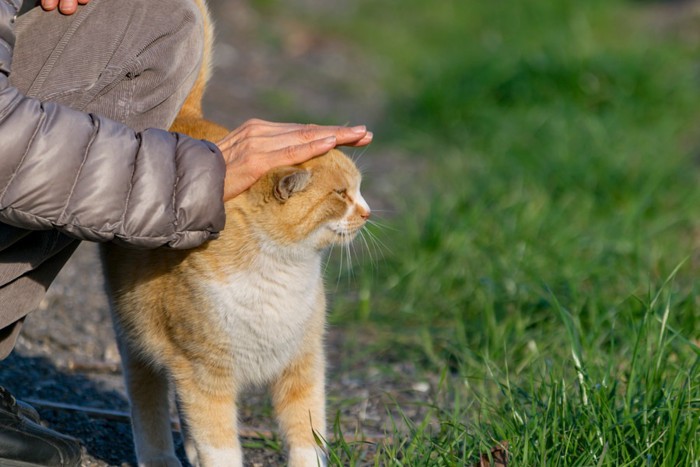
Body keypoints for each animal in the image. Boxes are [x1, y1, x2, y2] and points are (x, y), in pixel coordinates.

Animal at [101, 0, 372, 467]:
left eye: (356, 191)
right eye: (341, 195)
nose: (368, 212)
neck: (281, 272)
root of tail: (184, 117)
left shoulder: (302, 365)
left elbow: (307, 431)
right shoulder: (203, 375)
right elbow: (220, 445)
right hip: (135, 340)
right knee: (147, 397)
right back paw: (161, 456)